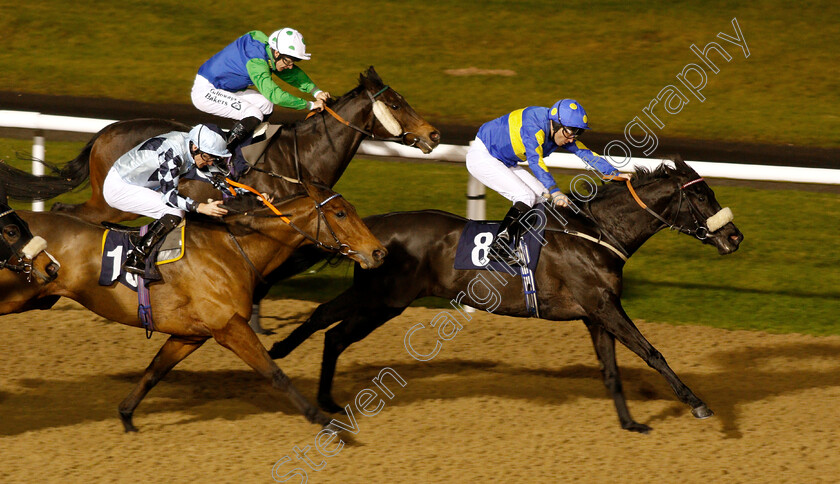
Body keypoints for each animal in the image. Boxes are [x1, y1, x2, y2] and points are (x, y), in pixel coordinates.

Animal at [0, 65, 442, 223]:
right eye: (396, 103)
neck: (301, 157)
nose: (434, 135)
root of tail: (102, 134)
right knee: (69, 212)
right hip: (113, 199)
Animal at [0, 182, 388, 432]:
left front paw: (126, 416)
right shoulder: (230, 326)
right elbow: (274, 373)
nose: (379, 252)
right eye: (340, 213)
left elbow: (154, 371)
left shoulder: (191, 335)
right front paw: (324, 420)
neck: (234, 248)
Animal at [268, 160, 740, 434]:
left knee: (328, 324)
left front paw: (630, 422)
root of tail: (373, 228)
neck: (598, 233)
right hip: (385, 299)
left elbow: (611, 370)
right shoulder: (604, 306)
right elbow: (652, 352)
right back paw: (288, 362)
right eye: (701, 194)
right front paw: (698, 404)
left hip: (375, 296)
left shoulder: (595, 313)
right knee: (334, 328)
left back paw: (306, 378)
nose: (735, 237)